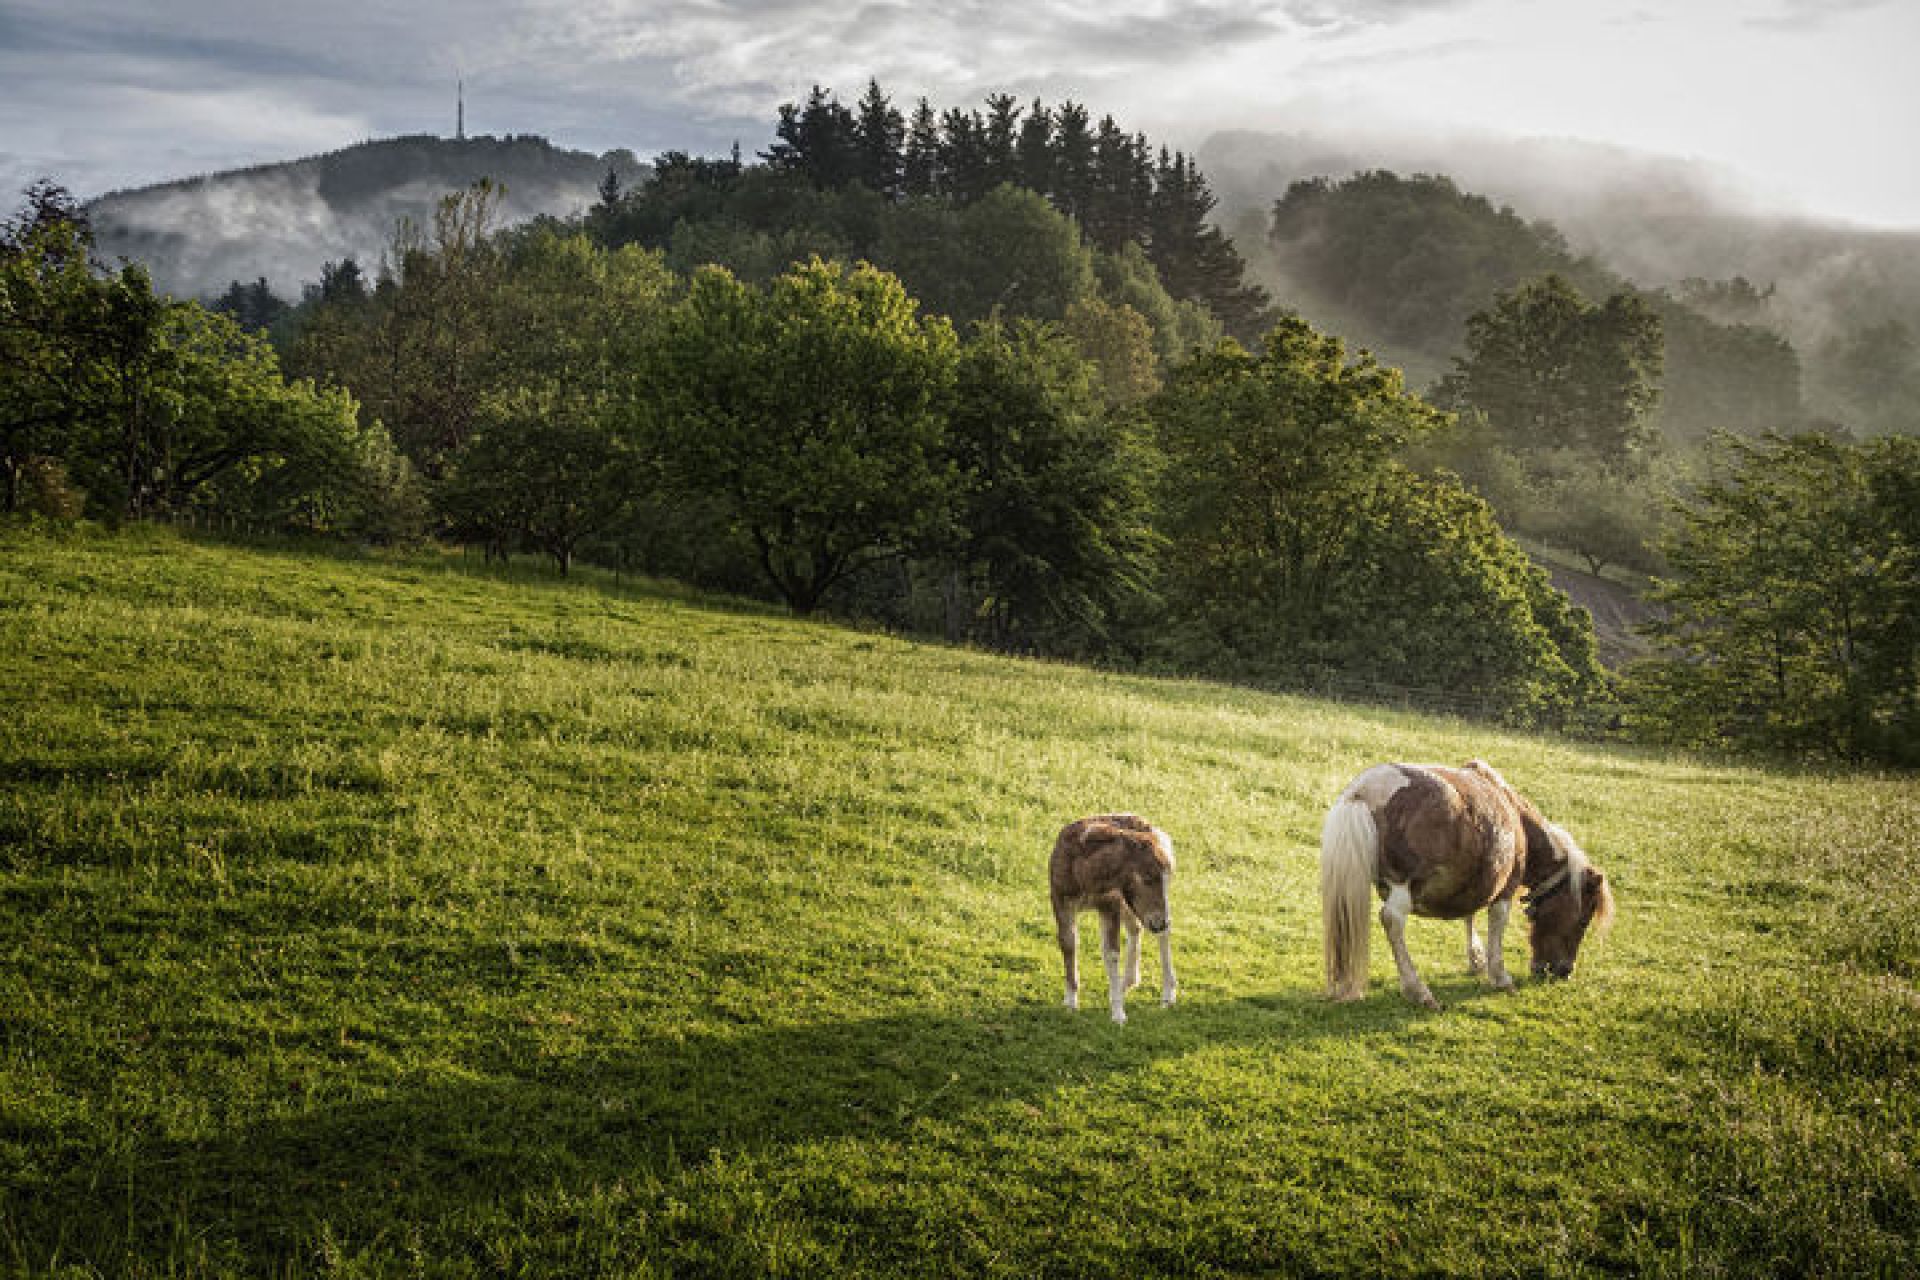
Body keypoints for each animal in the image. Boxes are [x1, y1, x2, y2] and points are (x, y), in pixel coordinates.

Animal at [1052, 817, 1167, 1028]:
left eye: (1164, 878)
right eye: (1147, 878)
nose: (1160, 922)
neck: (1085, 876)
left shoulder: (1110, 903)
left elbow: (1111, 953)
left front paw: (1118, 1015)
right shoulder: (1059, 899)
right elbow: (1068, 943)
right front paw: (1070, 1001)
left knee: (1161, 934)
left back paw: (1168, 996)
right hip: (1131, 903)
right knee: (1136, 927)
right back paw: (1128, 982)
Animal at [1320, 759, 1605, 1013]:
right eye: (1583, 921)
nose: (1564, 971)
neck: (1517, 819)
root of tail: (1363, 791)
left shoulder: (1477, 881)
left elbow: (1469, 914)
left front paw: (1476, 959)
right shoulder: (1505, 890)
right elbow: (1497, 926)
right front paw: (1500, 976)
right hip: (1402, 888)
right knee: (1392, 919)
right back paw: (1418, 990)